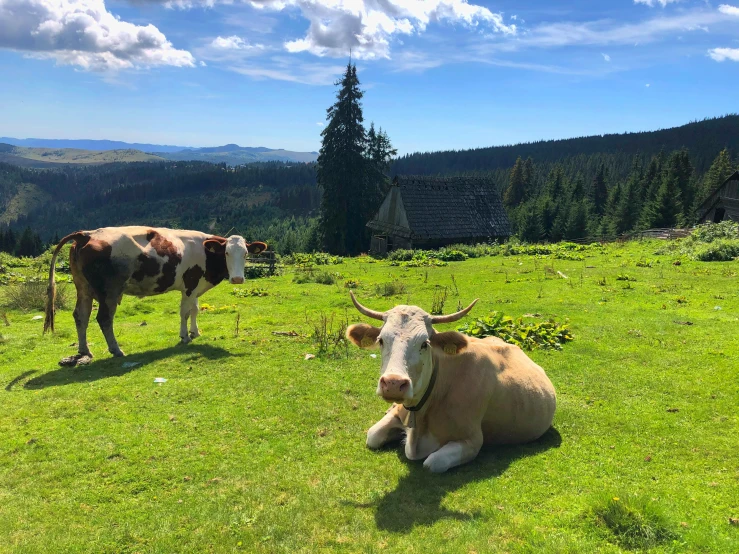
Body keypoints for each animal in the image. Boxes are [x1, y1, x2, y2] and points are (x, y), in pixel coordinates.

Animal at [44, 224, 268, 362]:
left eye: (246, 254)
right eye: (227, 253)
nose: (237, 279)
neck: (206, 253)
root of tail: (87, 234)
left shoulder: (195, 288)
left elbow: (195, 310)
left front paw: (195, 332)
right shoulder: (190, 284)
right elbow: (185, 312)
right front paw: (184, 336)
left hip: (83, 287)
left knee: (81, 316)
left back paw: (84, 350)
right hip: (109, 291)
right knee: (104, 318)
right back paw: (116, 350)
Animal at [346, 292, 556, 472]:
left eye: (424, 343)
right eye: (381, 340)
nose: (393, 384)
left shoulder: (471, 441)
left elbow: (432, 463)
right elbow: (372, 436)